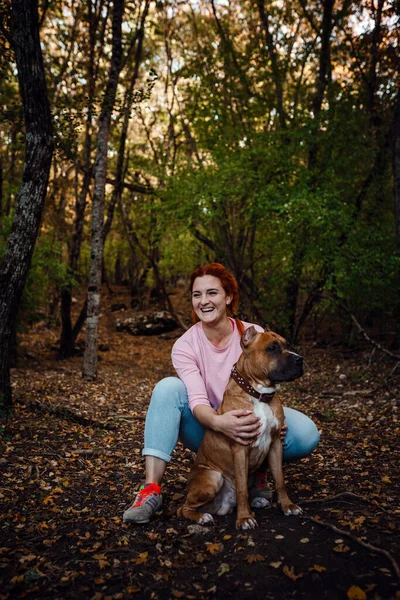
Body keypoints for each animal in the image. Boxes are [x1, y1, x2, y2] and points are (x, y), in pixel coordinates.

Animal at [178, 326, 304, 528]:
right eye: (272, 348)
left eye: (286, 344)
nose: (300, 359)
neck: (258, 394)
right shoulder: (240, 448)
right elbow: (242, 487)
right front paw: (244, 518)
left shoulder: (276, 444)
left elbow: (280, 480)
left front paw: (287, 506)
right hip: (213, 477)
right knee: (183, 508)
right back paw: (201, 517)